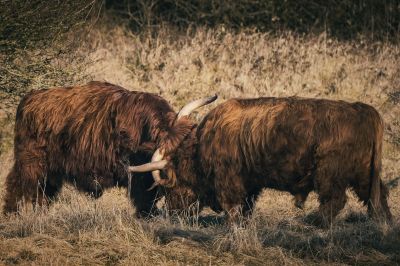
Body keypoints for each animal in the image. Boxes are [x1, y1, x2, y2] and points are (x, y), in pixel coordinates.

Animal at [3, 81, 216, 216]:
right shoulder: (138, 177)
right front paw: (148, 215)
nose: (192, 209)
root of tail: (29, 97)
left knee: (44, 192)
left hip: (52, 170)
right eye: (181, 175)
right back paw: (11, 213)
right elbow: (145, 198)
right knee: (17, 183)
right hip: (30, 160)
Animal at [142, 96, 392, 225]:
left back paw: (312, 221)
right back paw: (384, 223)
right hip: (363, 173)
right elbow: (246, 206)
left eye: (171, 186)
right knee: (377, 196)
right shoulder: (249, 183)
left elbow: (232, 207)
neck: (203, 145)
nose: (173, 213)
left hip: (329, 173)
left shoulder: (228, 181)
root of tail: (363, 110)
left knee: (335, 200)